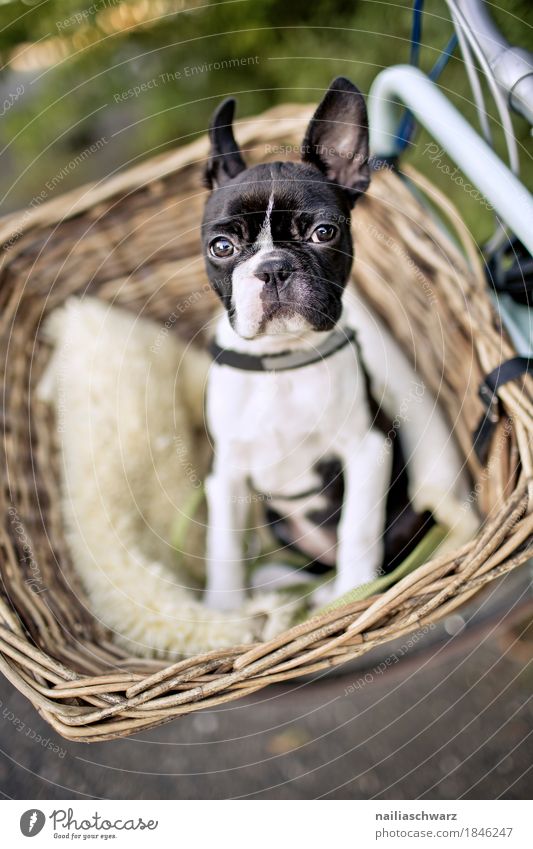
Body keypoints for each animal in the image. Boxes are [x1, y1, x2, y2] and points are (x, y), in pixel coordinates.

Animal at [202, 78, 476, 608]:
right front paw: (222, 611)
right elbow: (223, 546)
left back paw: (326, 593)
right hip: (277, 520)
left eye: (323, 233)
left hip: (407, 512)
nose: (274, 268)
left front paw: (354, 592)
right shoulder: (225, 473)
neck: (283, 362)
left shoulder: (367, 450)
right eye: (221, 247)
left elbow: (357, 530)